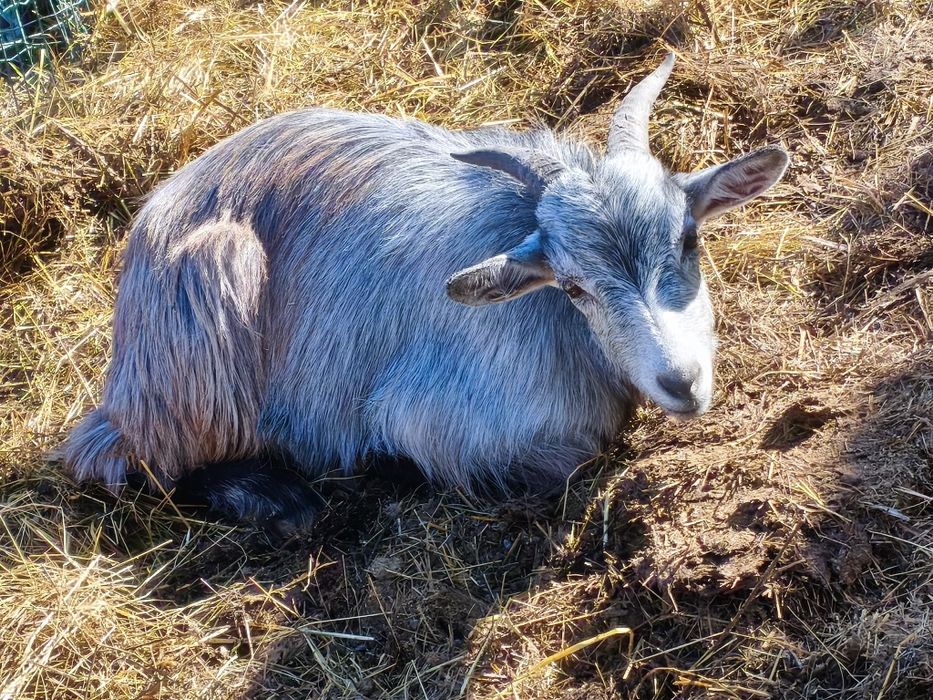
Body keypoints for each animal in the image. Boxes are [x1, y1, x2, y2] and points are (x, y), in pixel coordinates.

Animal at [62, 54, 788, 532]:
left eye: (687, 238)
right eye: (574, 286)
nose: (681, 382)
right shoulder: (433, 413)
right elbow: (572, 457)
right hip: (212, 288)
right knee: (136, 460)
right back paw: (278, 498)